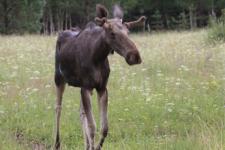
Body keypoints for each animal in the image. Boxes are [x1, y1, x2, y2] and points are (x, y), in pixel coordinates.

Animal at [54, 3, 146, 150]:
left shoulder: (101, 88)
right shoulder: (86, 87)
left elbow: (104, 128)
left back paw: (86, 145)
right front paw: (93, 146)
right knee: (58, 108)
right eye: (112, 33)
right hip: (58, 78)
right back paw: (57, 144)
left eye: (128, 32)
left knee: (81, 112)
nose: (135, 56)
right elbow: (92, 127)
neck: (97, 56)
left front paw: (95, 146)